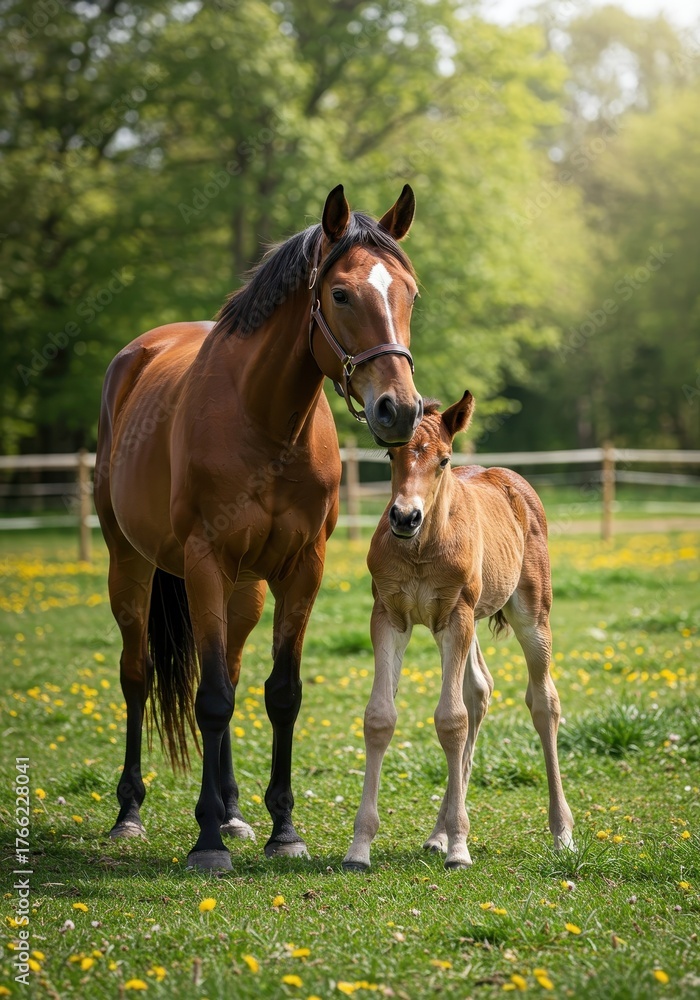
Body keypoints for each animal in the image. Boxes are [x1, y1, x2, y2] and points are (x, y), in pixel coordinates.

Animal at [94, 184, 424, 870]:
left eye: (410, 292)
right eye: (341, 294)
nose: (399, 409)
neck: (265, 421)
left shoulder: (302, 569)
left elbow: (280, 694)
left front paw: (282, 830)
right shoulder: (204, 563)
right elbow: (211, 699)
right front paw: (206, 843)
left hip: (242, 589)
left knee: (232, 669)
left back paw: (233, 810)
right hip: (130, 565)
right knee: (138, 675)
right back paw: (130, 813)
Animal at [343, 392, 575, 871]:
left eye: (444, 460)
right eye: (391, 455)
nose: (405, 517)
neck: (421, 548)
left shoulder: (458, 616)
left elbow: (451, 721)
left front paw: (460, 849)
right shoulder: (389, 616)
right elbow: (380, 717)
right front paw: (359, 848)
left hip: (529, 616)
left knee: (543, 701)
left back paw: (561, 832)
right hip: (447, 626)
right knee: (479, 690)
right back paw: (438, 833)